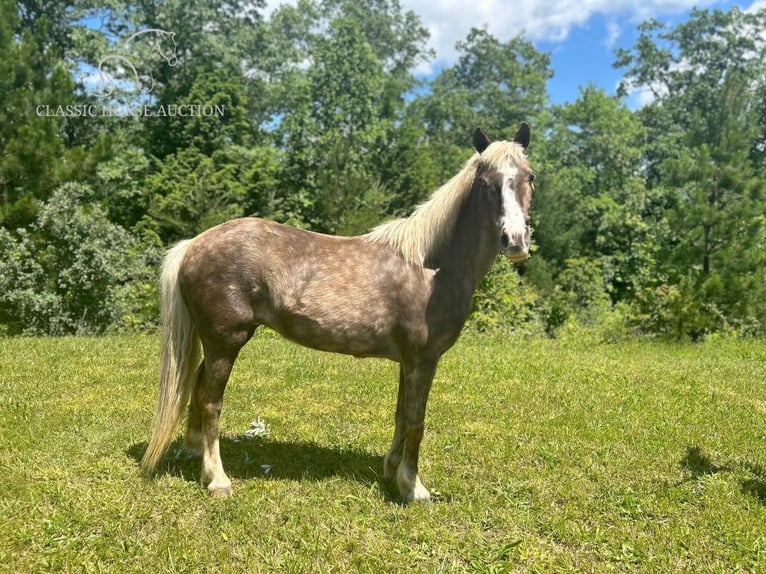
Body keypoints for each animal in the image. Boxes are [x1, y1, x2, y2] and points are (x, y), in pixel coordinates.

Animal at [141, 126, 536, 504]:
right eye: (485, 182)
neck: (430, 267)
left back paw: (198, 459)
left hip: (216, 341)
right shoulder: (424, 360)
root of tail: (193, 244)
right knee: (211, 402)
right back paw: (218, 480)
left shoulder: (408, 362)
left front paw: (392, 472)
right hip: (225, 341)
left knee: (197, 389)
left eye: (529, 176)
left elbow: (400, 414)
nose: (515, 241)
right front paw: (414, 488)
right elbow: (415, 422)